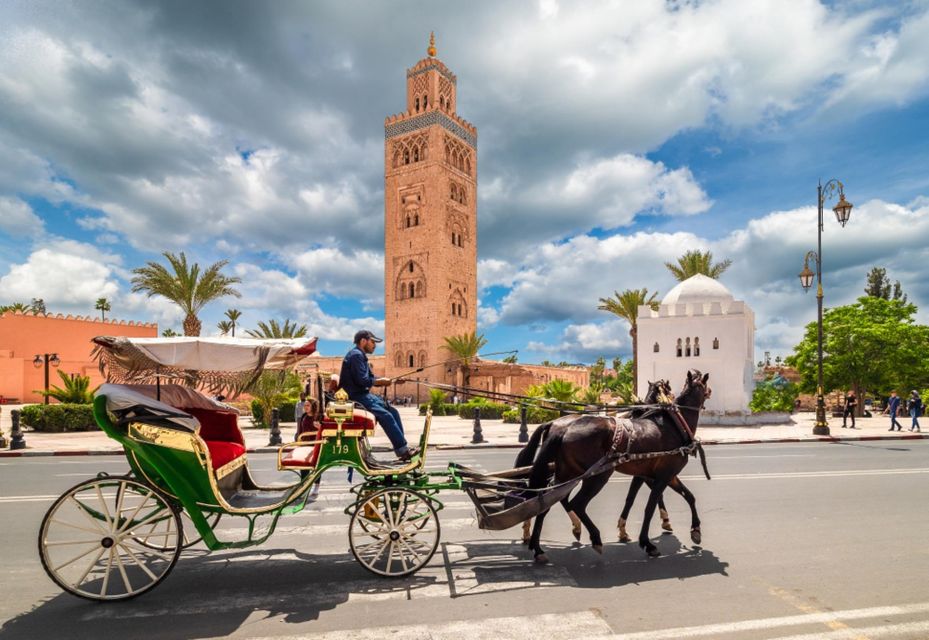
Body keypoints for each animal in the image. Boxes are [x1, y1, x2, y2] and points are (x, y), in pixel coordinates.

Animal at [520, 370, 708, 560]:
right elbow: (651, 506)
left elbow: (684, 496)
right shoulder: (664, 475)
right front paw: (649, 540)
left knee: (548, 498)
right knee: (576, 503)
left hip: (568, 472)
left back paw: (538, 546)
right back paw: (593, 538)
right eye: (667, 389)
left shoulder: (653, 474)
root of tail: (560, 427)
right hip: (597, 475)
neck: (675, 425)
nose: (710, 392)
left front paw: (694, 529)